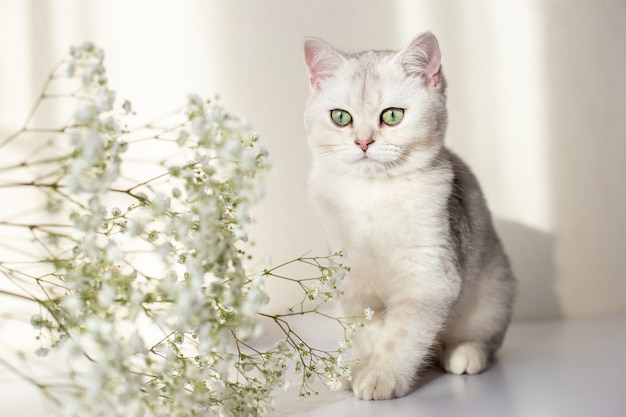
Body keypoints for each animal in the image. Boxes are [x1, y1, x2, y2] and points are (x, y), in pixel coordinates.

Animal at [302, 30, 512, 400]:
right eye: (340, 117)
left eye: (392, 116)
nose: (363, 142)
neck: (372, 196)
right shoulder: (354, 283)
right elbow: (368, 334)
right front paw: (360, 368)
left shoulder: (429, 278)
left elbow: (400, 336)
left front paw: (381, 376)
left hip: (493, 293)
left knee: (484, 340)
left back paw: (464, 354)